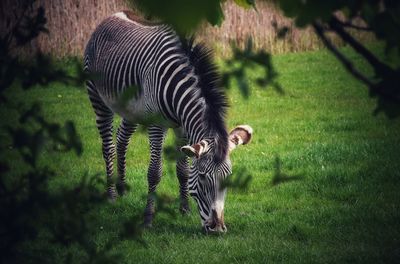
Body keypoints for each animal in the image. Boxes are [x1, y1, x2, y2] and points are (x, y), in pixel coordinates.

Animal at [84, 11, 253, 232]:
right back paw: (111, 195)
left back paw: (121, 189)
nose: (217, 229)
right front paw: (148, 219)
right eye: (202, 177)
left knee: (121, 139)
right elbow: (154, 172)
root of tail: (111, 16)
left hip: (131, 108)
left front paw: (184, 210)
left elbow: (183, 170)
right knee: (108, 146)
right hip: (97, 97)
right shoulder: (157, 124)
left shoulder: (183, 127)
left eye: (228, 178)